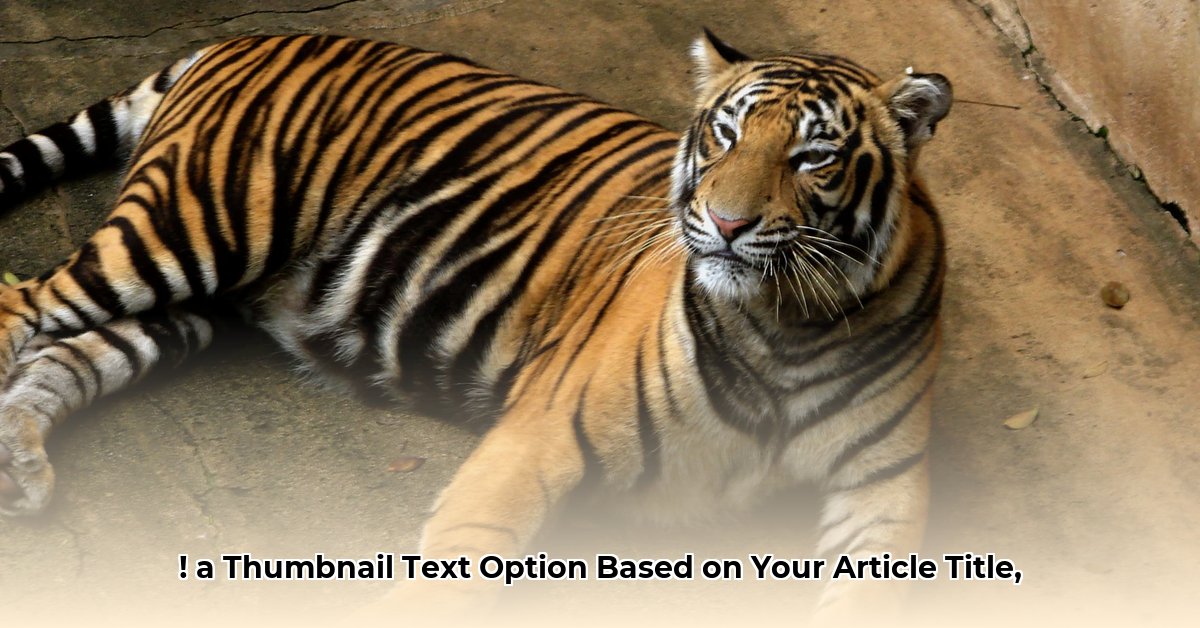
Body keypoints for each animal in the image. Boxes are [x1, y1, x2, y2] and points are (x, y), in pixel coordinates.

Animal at [0, 30, 950, 620]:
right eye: (723, 135)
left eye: (813, 157)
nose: (723, 223)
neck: (787, 324)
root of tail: (238, 40)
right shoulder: (542, 430)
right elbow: (462, 561)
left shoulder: (885, 488)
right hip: (188, 234)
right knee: (24, 306)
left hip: (196, 307)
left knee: (65, 355)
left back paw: (20, 469)